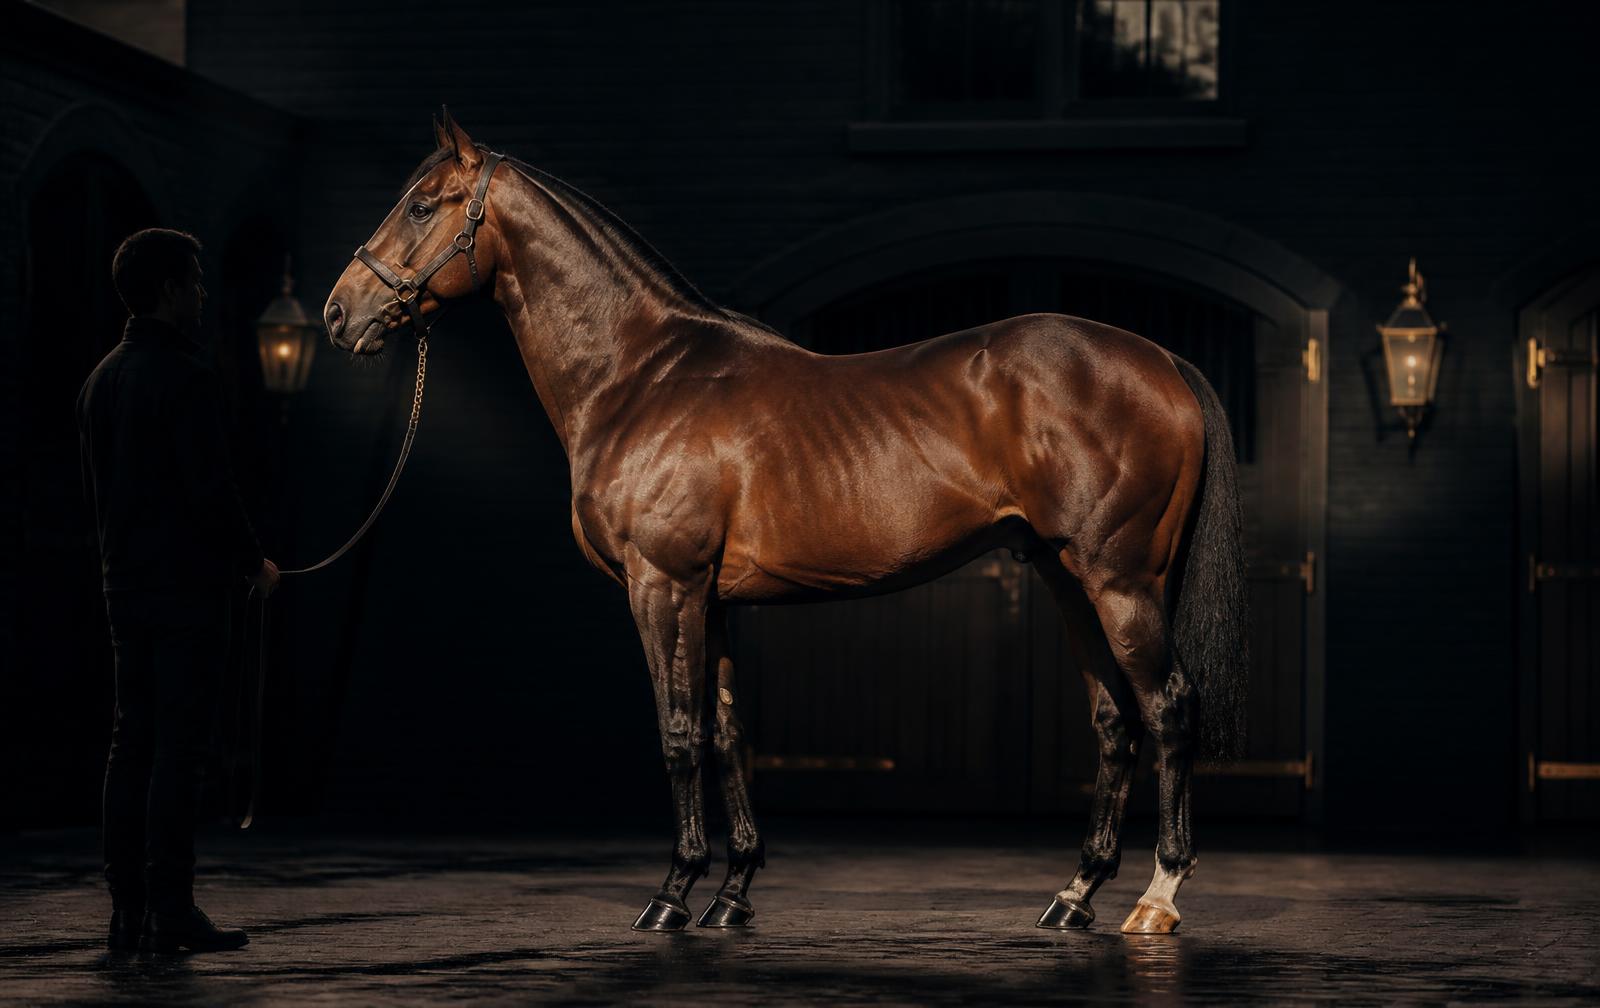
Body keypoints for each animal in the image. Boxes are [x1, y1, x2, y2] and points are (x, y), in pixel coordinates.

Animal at [322, 111, 1250, 936]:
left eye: (422, 205)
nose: (339, 314)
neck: (642, 377)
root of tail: (1162, 360)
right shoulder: (712, 599)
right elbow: (730, 733)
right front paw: (733, 893)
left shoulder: (662, 586)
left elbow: (680, 732)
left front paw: (672, 894)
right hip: (1068, 580)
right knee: (1114, 721)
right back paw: (1074, 895)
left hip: (1119, 581)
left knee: (1167, 706)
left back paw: (1156, 899)